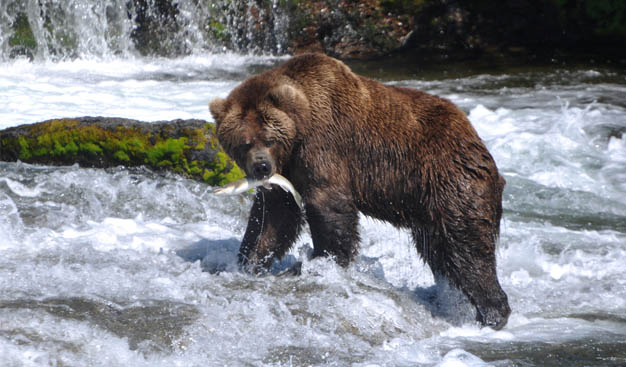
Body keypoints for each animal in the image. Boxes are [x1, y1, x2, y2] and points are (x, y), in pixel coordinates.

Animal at [207, 54, 510, 330]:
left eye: (269, 139)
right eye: (244, 143)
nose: (261, 167)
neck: (301, 124)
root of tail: (476, 139)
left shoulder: (324, 145)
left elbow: (328, 206)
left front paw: (324, 262)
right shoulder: (288, 171)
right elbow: (275, 217)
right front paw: (249, 261)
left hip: (448, 178)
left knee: (467, 247)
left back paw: (493, 313)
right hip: (427, 206)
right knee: (439, 252)